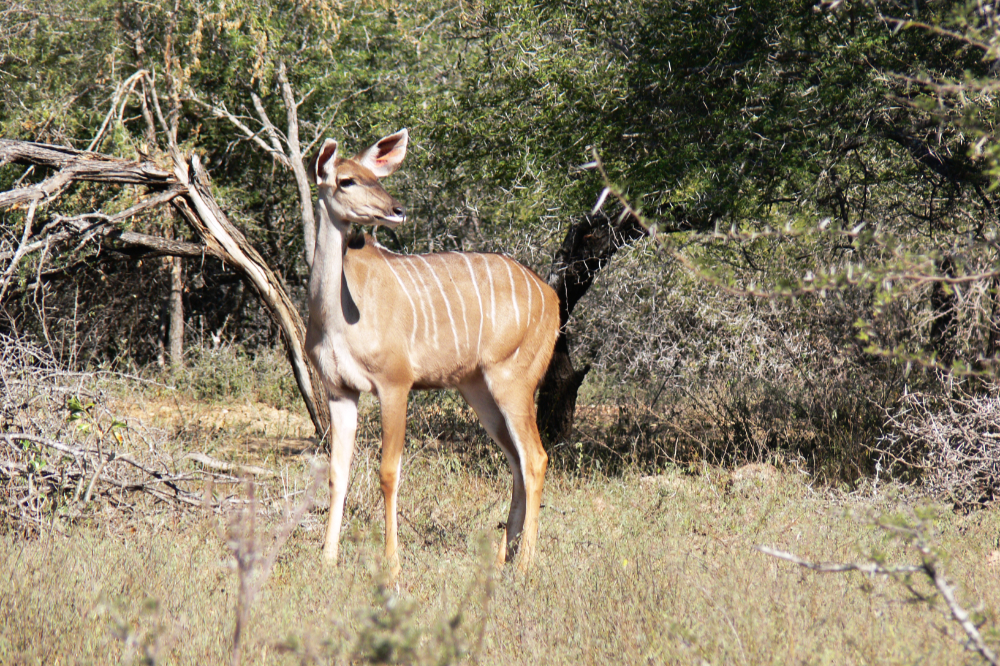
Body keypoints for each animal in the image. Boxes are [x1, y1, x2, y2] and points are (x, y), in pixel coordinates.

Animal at [306, 129, 559, 574]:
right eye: (346, 180)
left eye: (375, 176)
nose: (396, 210)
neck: (338, 314)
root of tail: (553, 296)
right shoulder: (340, 390)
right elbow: (338, 471)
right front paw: (327, 559)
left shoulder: (394, 384)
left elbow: (388, 471)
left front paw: (391, 564)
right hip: (478, 390)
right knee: (515, 459)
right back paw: (501, 558)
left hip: (513, 381)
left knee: (535, 458)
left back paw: (524, 564)